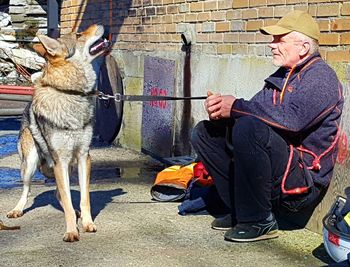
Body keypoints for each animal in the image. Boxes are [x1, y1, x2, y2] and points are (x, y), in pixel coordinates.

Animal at [6, 24, 109, 243]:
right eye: (79, 34)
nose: (100, 24)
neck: (71, 93)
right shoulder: (60, 160)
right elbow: (68, 201)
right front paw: (71, 231)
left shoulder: (83, 157)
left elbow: (84, 198)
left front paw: (87, 223)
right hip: (30, 164)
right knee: (28, 190)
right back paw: (17, 210)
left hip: (66, 166)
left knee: (58, 194)